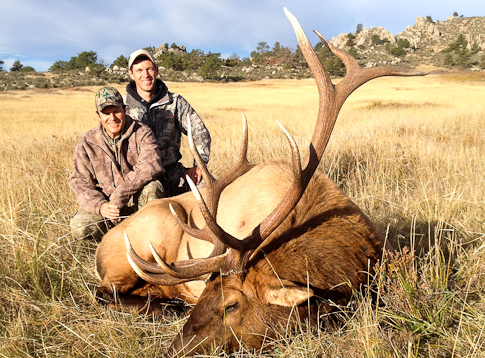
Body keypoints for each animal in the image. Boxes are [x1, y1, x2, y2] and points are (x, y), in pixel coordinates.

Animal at [92, 8, 426, 356]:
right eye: (207, 294)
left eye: (230, 304)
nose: (174, 350)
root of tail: (101, 247)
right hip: (141, 244)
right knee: (102, 292)